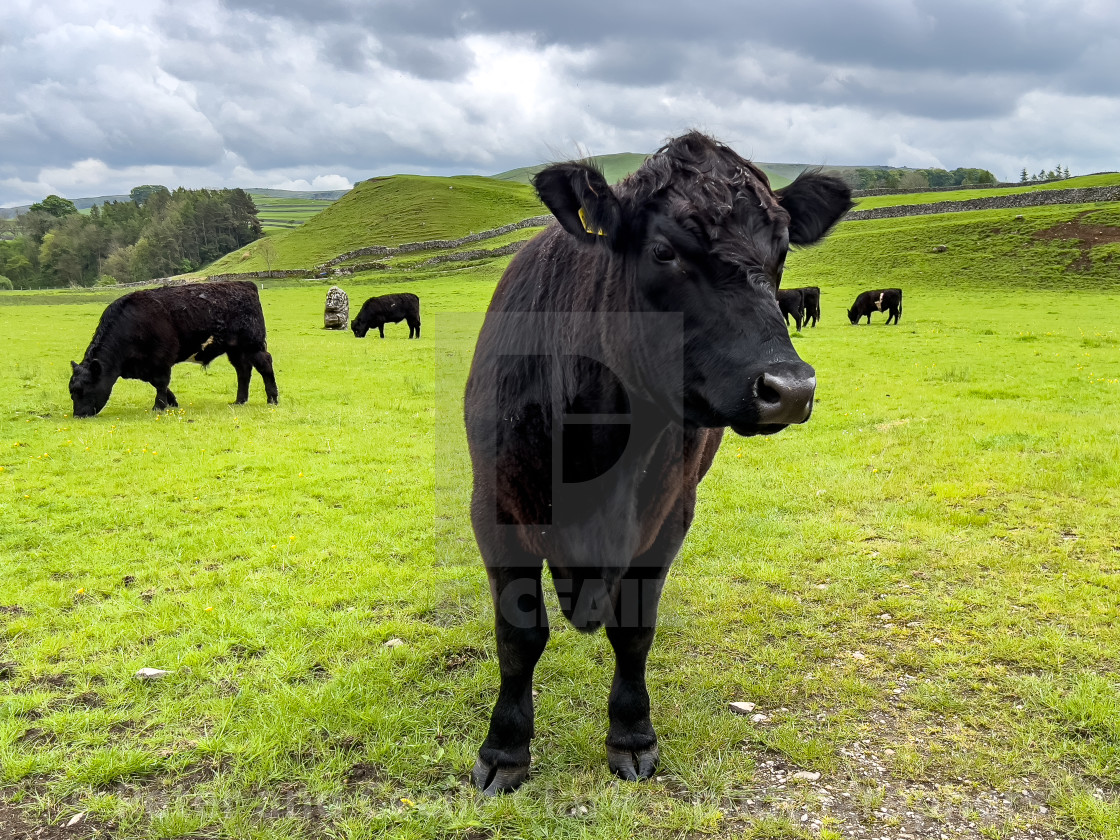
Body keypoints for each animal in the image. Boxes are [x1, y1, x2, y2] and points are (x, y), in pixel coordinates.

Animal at [68, 280, 278, 418]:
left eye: (84, 390)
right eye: (72, 391)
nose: (78, 415)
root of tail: (245, 284)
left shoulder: (161, 359)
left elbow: (161, 383)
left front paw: (159, 407)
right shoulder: (146, 366)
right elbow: (159, 385)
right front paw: (173, 402)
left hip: (253, 344)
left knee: (265, 365)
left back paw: (272, 399)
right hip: (235, 349)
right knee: (243, 371)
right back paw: (240, 400)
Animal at [461, 131, 846, 797]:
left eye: (781, 252)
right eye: (664, 251)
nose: (791, 388)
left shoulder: (670, 513)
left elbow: (634, 628)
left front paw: (632, 737)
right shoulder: (496, 506)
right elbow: (519, 633)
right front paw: (505, 749)